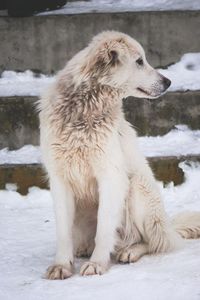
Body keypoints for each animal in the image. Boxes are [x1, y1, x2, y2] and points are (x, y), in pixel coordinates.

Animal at [38, 30, 200, 278]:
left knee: (153, 243)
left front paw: (97, 264)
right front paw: (62, 266)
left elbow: (105, 229)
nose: (168, 82)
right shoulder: (59, 179)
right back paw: (84, 249)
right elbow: (63, 233)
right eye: (139, 61)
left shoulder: (111, 177)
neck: (84, 109)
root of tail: (168, 226)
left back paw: (130, 251)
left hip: (137, 188)